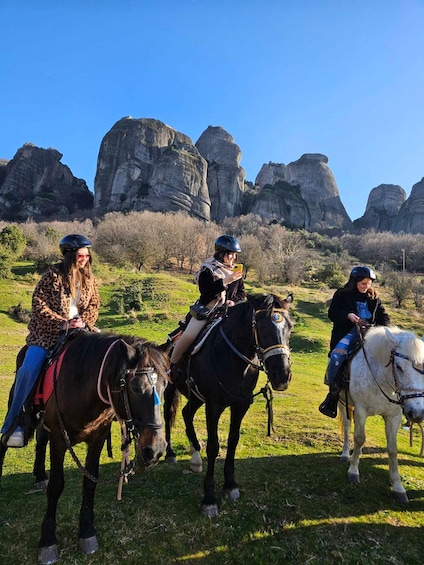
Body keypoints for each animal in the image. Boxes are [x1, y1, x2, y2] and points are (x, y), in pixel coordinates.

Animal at [0, 330, 169, 564]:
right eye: (135, 387)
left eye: (165, 386)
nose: (155, 450)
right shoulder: (59, 439)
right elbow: (56, 486)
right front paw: (47, 541)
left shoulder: (98, 438)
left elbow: (90, 483)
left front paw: (87, 533)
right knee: (5, 439)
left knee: (41, 440)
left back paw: (40, 475)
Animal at [164, 294, 294, 516]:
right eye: (261, 326)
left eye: (290, 327)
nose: (282, 376)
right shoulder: (213, 406)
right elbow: (213, 446)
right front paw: (209, 499)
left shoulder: (240, 406)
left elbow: (233, 441)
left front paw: (230, 485)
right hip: (171, 388)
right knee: (167, 414)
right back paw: (171, 453)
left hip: (196, 397)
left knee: (187, 413)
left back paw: (195, 456)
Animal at [340, 326, 424, 502]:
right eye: (398, 367)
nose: (417, 413)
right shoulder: (361, 409)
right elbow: (359, 438)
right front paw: (353, 472)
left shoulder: (393, 417)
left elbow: (392, 449)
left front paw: (398, 487)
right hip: (342, 402)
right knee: (346, 426)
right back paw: (345, 455)